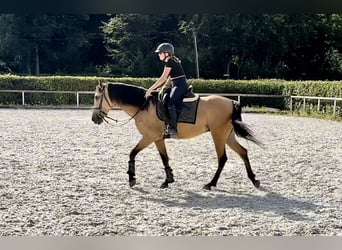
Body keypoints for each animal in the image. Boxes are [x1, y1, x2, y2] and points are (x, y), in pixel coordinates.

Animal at [91, 81, 262, 189]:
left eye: (97, 97)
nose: (94, 119)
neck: (143, 106)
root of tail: (231, 102)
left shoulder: (149, 137)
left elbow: (133, 153)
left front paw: (132, 178)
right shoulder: (158, 139)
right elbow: (164, 158)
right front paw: (168, 180)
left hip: (218, 135)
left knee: (223, 158)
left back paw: (211, 184)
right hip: (228, 136)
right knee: (243, 152)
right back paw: (254, 179)